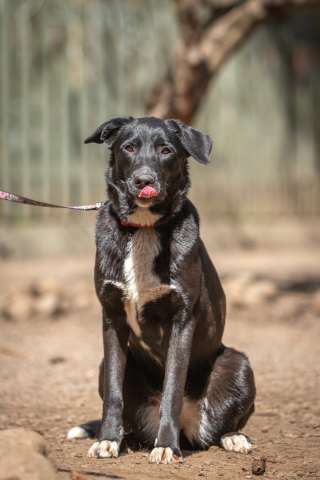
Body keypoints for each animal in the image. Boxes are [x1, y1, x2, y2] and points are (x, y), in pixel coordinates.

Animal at [67, 116, 255, 464]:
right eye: (128, 147)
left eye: (166, 150)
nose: (144, 180)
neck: (144, 228)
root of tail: (189, 429)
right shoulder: (112, 318)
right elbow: (113, 393)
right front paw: (107, 440)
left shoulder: (182, 321)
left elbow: (172, 389)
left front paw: (166, 445)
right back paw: (122, 438)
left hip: (238, 364)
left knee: (223, 424)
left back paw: (232, 437)